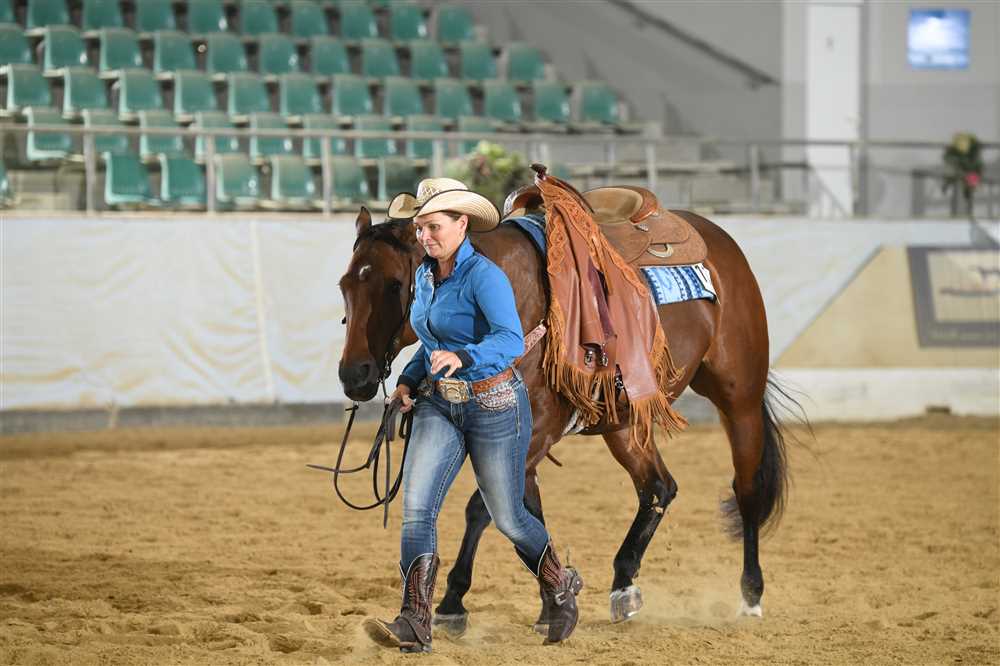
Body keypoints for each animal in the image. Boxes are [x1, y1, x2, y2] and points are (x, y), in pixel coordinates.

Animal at [337, 199, 794, 634]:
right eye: (345, 285)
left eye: (395, 284)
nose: (353, 373)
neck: (519, 299)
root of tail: (719, 241)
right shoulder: (526, 441)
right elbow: (527, 513)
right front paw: (552, 604)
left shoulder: (538, 432)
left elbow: (486, 508)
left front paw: (452, 603)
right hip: (623, 423)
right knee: (658, 487)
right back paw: (623, 584)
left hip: (740, 399)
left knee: (747, 490)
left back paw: (751, 594)